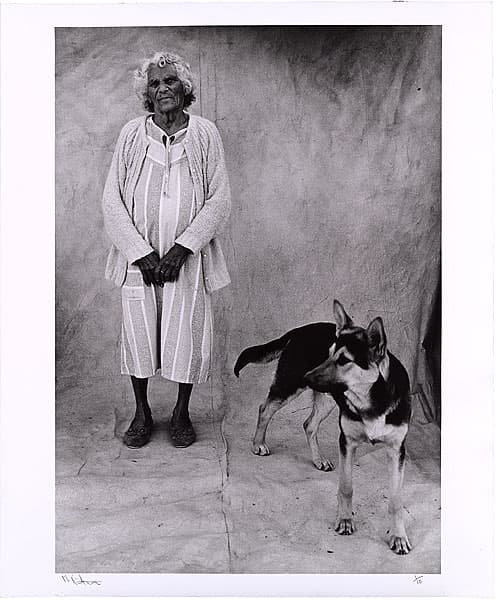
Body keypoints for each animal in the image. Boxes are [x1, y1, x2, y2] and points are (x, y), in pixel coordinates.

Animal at [234, 300, 412, 552]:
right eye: (327, 354)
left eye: (344, 360)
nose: (307, 377)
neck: (371, 399)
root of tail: (298, 330)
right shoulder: (347, 443)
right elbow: (346, 487)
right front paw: (345, 521)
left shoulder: (397, 451)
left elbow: (395, 500)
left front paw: (398, 537)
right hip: (289, 385)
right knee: (265, 409)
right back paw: (258, 443)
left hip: (326, 399)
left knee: (309, 424)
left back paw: (318, 459)